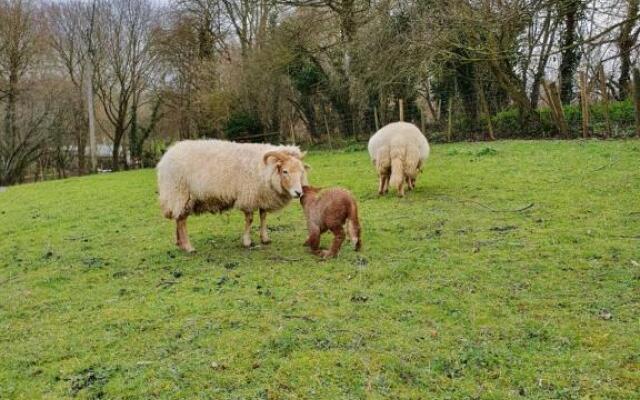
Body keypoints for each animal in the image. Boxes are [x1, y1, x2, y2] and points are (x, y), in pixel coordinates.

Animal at [159, 139, 312, 252]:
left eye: (301, 171)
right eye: (285, 171)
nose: (298, 193)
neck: (265, 169)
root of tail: (165, 158)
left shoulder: (261, 196)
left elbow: (263, 217)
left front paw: (265, 238)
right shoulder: (249, 196)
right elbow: (250, 219)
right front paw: (247, 241)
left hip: (176, 197)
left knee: (178, 218)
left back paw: (179, 243)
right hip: (180, 193)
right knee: (182, 221)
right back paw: (188, 247)